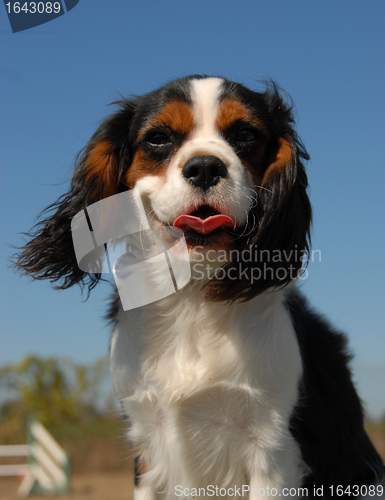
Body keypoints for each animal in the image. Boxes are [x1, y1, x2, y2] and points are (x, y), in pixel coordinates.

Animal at [13, 74, 382, 496]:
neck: (192, 294)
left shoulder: (273, 451)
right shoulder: (147, 447)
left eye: (245, 134)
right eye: (158, 138)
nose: (205, 166)